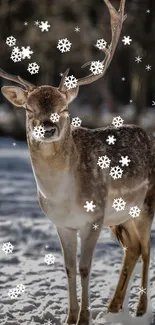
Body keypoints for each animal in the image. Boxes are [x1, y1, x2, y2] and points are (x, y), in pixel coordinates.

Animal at [0, 0, 154, 322]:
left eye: (65, 108)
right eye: (29, 109)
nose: (48, 128)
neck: (63, 196)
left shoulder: (93, 219)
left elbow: (85, 268)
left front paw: (84, 317)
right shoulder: (62, 224)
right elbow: (69, 269)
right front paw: (70, 317)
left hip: (146, 204)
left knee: (147, 248)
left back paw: (140, 308)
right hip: (121, 218)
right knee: (133, 248)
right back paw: (113, 307)